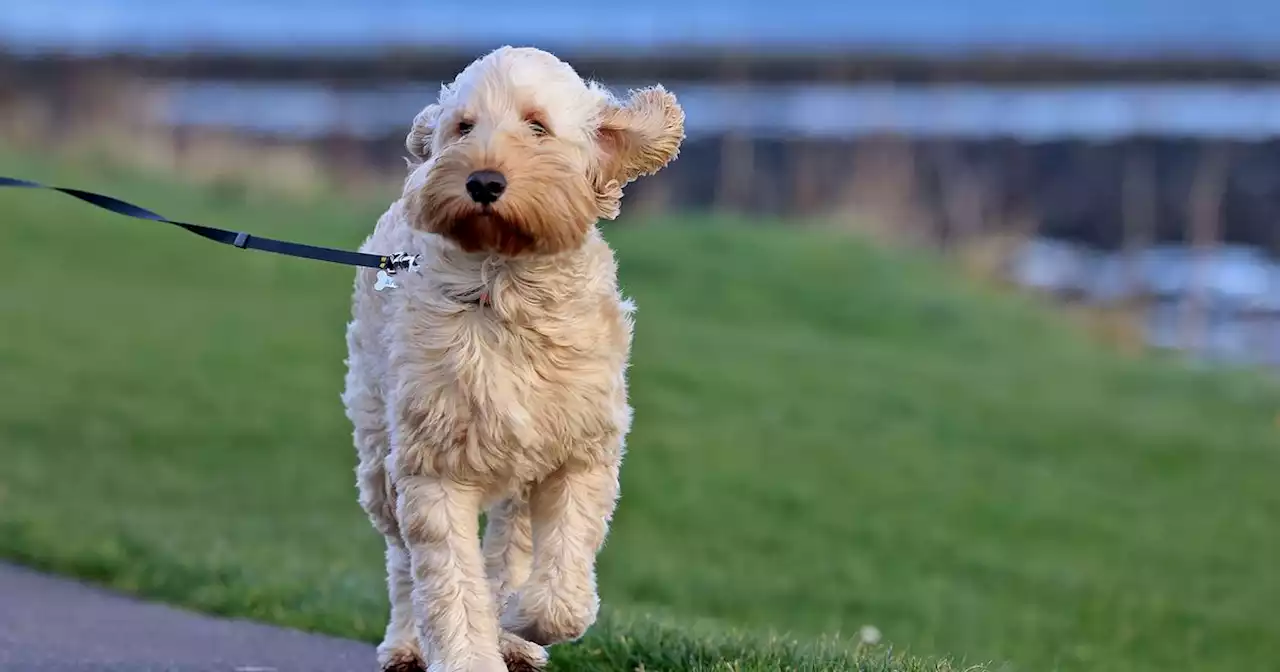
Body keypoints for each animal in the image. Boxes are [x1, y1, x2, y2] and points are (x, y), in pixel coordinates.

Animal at [337, 44, 680, 665]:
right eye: (464, 127)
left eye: (537, 126)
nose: (483, 181)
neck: (504, 287)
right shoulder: (432, 464)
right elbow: (449, 580)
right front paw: (474, 653)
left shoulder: (581, 454)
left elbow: (562, 590)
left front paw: (519, 621)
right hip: (378, 449)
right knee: (401, 559)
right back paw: (406, 644)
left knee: (510, 543)